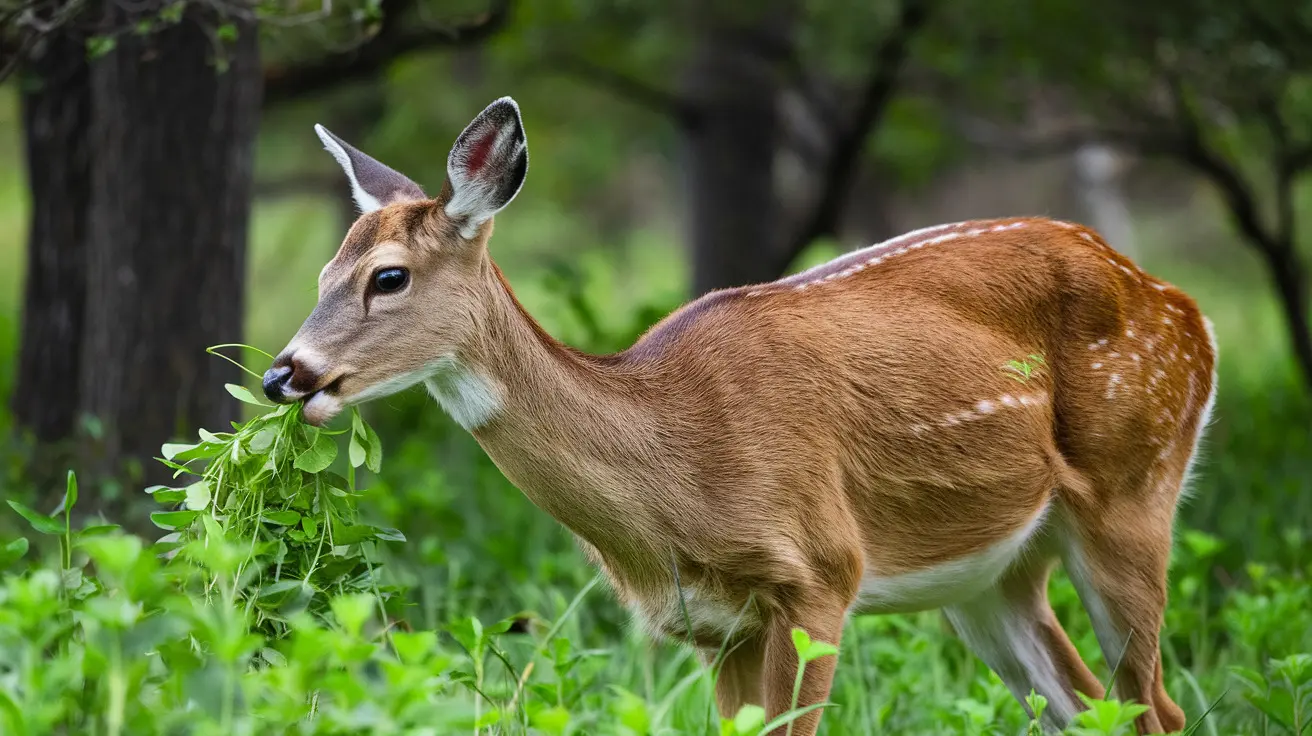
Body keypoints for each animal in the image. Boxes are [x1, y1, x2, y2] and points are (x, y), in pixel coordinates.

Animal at [263, 99, 1217, 734]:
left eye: (388, 276)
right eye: (321, 272)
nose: (284, 374)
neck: (675, 477)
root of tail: (1183, 307)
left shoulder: (822, 572)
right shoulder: (710, 627)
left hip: (1137, 486)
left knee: (1153, 706)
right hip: (994, 572)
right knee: (1083, 703)